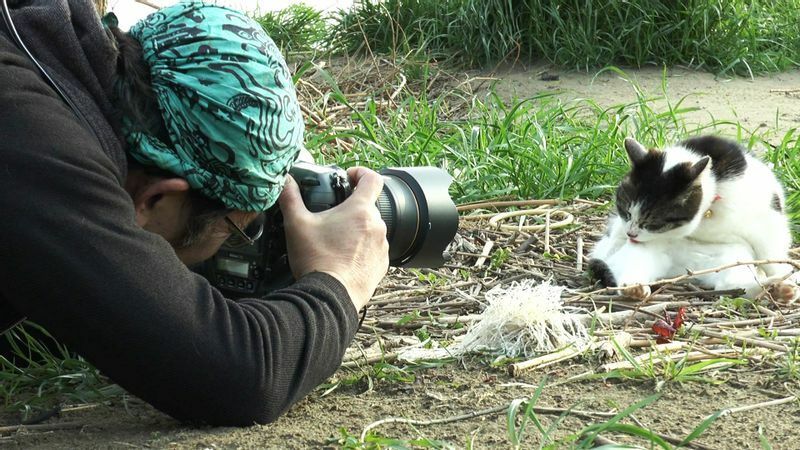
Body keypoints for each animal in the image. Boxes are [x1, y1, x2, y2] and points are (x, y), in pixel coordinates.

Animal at [584, 134, 796, 302]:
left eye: (652, 222)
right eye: (626, 212)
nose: (631, 234)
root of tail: (680, 269)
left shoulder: (769, 220)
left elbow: (772, 253)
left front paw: (783, 274)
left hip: (733, 261)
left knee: (737, 285)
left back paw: (776, 287)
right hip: (639, 257)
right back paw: (634, 288)